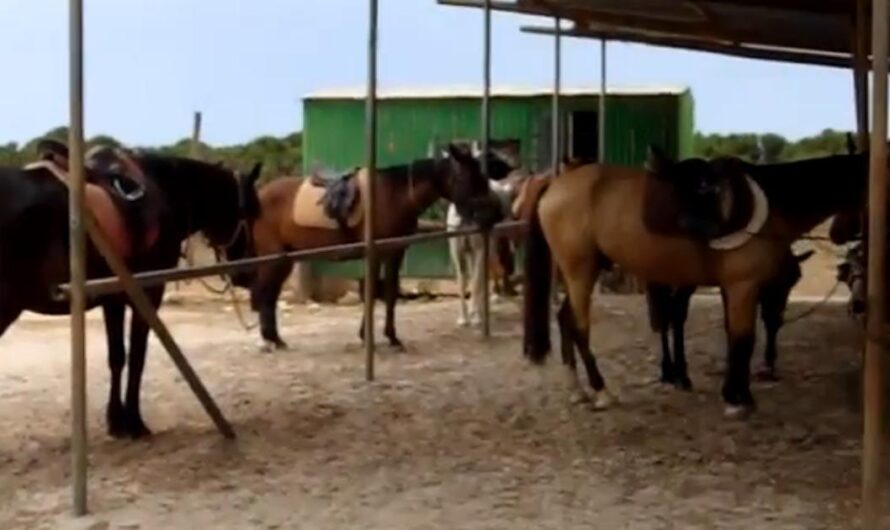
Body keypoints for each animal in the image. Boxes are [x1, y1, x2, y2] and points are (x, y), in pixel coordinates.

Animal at [1, 138, 260, 436]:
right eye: (253, 211)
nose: (247, 274)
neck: (166, 191)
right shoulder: (148, 292)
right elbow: (137, 355)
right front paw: (134, 421)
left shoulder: (112, 297)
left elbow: (117, 357)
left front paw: (116, 420)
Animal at [229, 142, 506, 352]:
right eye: (467, 176)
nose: (494, 211)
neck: (395, 196)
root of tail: (259, 195)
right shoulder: (376, 254)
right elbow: (372, 293)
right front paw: (367, 337)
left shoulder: (395, 253)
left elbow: (391, 293)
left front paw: (392, 337)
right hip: (274, 258)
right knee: (265, 294)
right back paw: (269, 341)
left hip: (285, 259)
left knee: (269, 295)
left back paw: (276, 340)